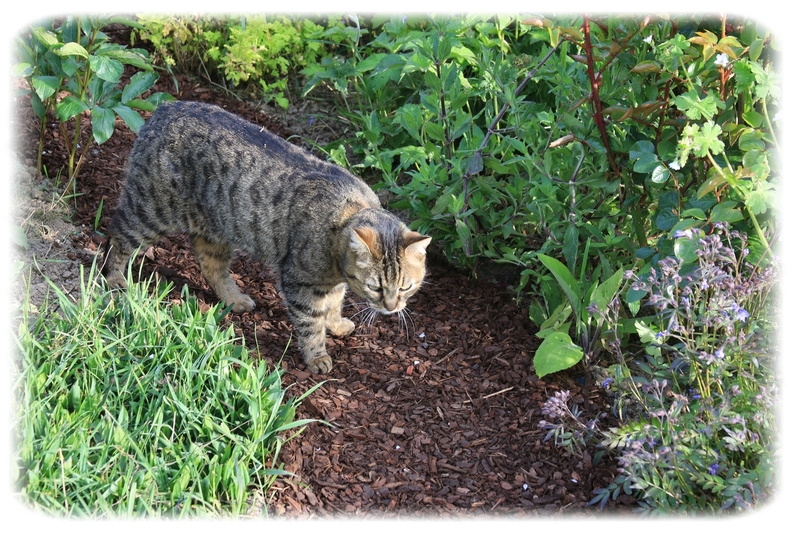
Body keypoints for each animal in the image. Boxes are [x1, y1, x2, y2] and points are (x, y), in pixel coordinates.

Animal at [107, 101, 434, 374]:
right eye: (375, 287)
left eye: (406, 287)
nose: (391, 308)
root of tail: (165, 108)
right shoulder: (300, 283)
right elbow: (310, 324)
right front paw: (317, 355)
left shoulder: (331, 284)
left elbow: (334, 303)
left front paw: (335, 323)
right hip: (151, 211)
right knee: (117, 234)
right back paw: (114, 278)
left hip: (215, 229)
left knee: (211, 267)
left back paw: (234, 299)